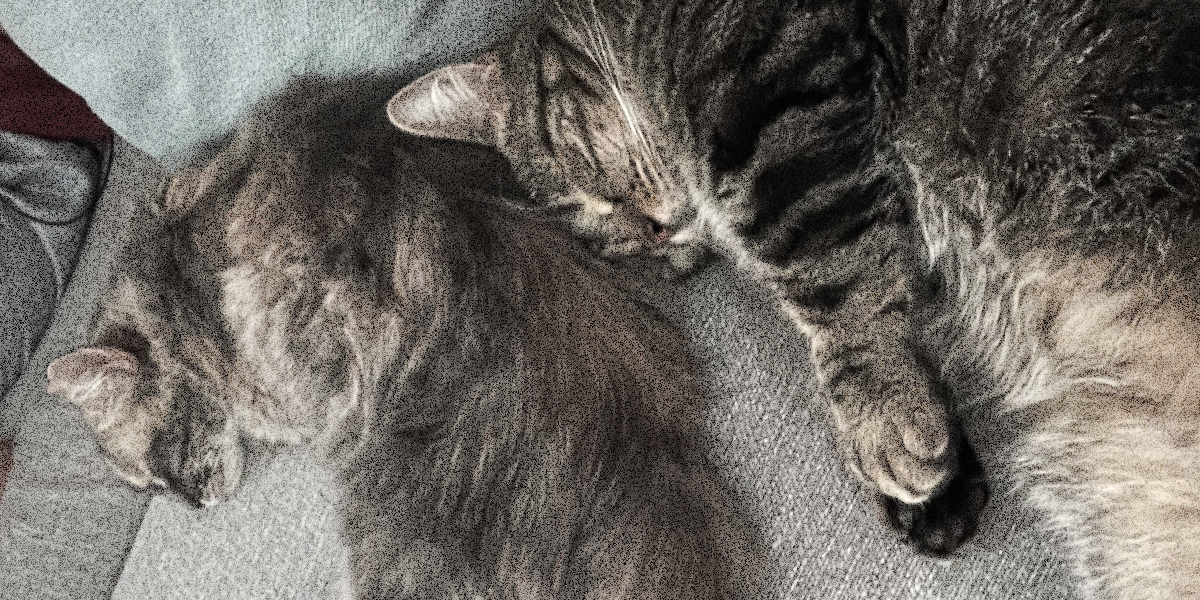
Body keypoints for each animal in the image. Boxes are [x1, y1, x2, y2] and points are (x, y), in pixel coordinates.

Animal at [386, 0, 1200, 595]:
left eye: (581, 191)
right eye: (610, 244)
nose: (653, 236)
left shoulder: (775, 92)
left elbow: (831, 278)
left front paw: (887, 419)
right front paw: (934, 492)